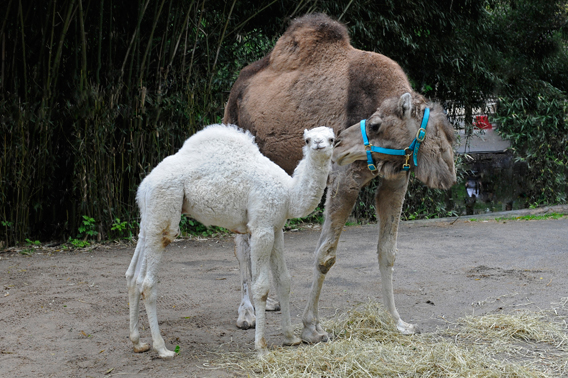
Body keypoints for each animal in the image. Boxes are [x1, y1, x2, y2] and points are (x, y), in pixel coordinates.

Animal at [125, 124, 332, 358]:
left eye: (332, 139)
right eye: (307, 140)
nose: (318, 144)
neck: (289, 194)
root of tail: (144, 184)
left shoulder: (276, 228)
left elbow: (284, 281)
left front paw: (290, 338)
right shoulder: (261, 227)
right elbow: (261, 286)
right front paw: (261, 348)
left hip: (149, 218)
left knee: (133, 276)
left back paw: (138, 342)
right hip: (165, 210)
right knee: (148, 283)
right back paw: (162, 348)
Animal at [223, 13, 458, 342]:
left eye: (375, 124)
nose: (338, 143)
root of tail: (237, 87)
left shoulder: (396, 180)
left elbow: (388, 252)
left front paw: (399, 322)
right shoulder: (345, 178)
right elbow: (326, 255)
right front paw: (312, 327)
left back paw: (268, 304)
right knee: (240, 241)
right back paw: (246, 313)